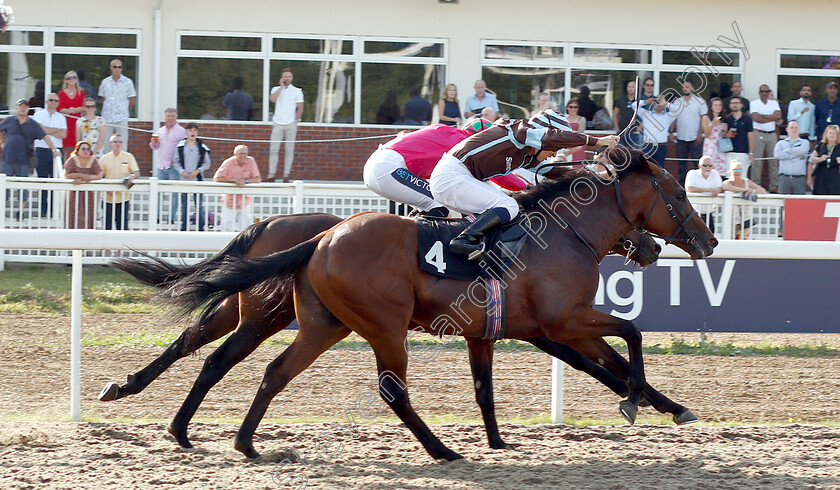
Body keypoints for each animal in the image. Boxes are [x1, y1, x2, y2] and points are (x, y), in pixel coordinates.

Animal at [164, 146, 716, 460]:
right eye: (676, 193)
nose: (708, 241)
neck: (564, 234)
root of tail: (321, 238)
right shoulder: (563, 322)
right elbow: (629, 338)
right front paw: (637, 401)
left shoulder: (502, 330)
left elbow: (488, 389)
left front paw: (498, 441)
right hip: (381, 327)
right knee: (391, 392)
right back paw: (441, 451)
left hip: (323, 324)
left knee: (265, 368)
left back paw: (244, 443)